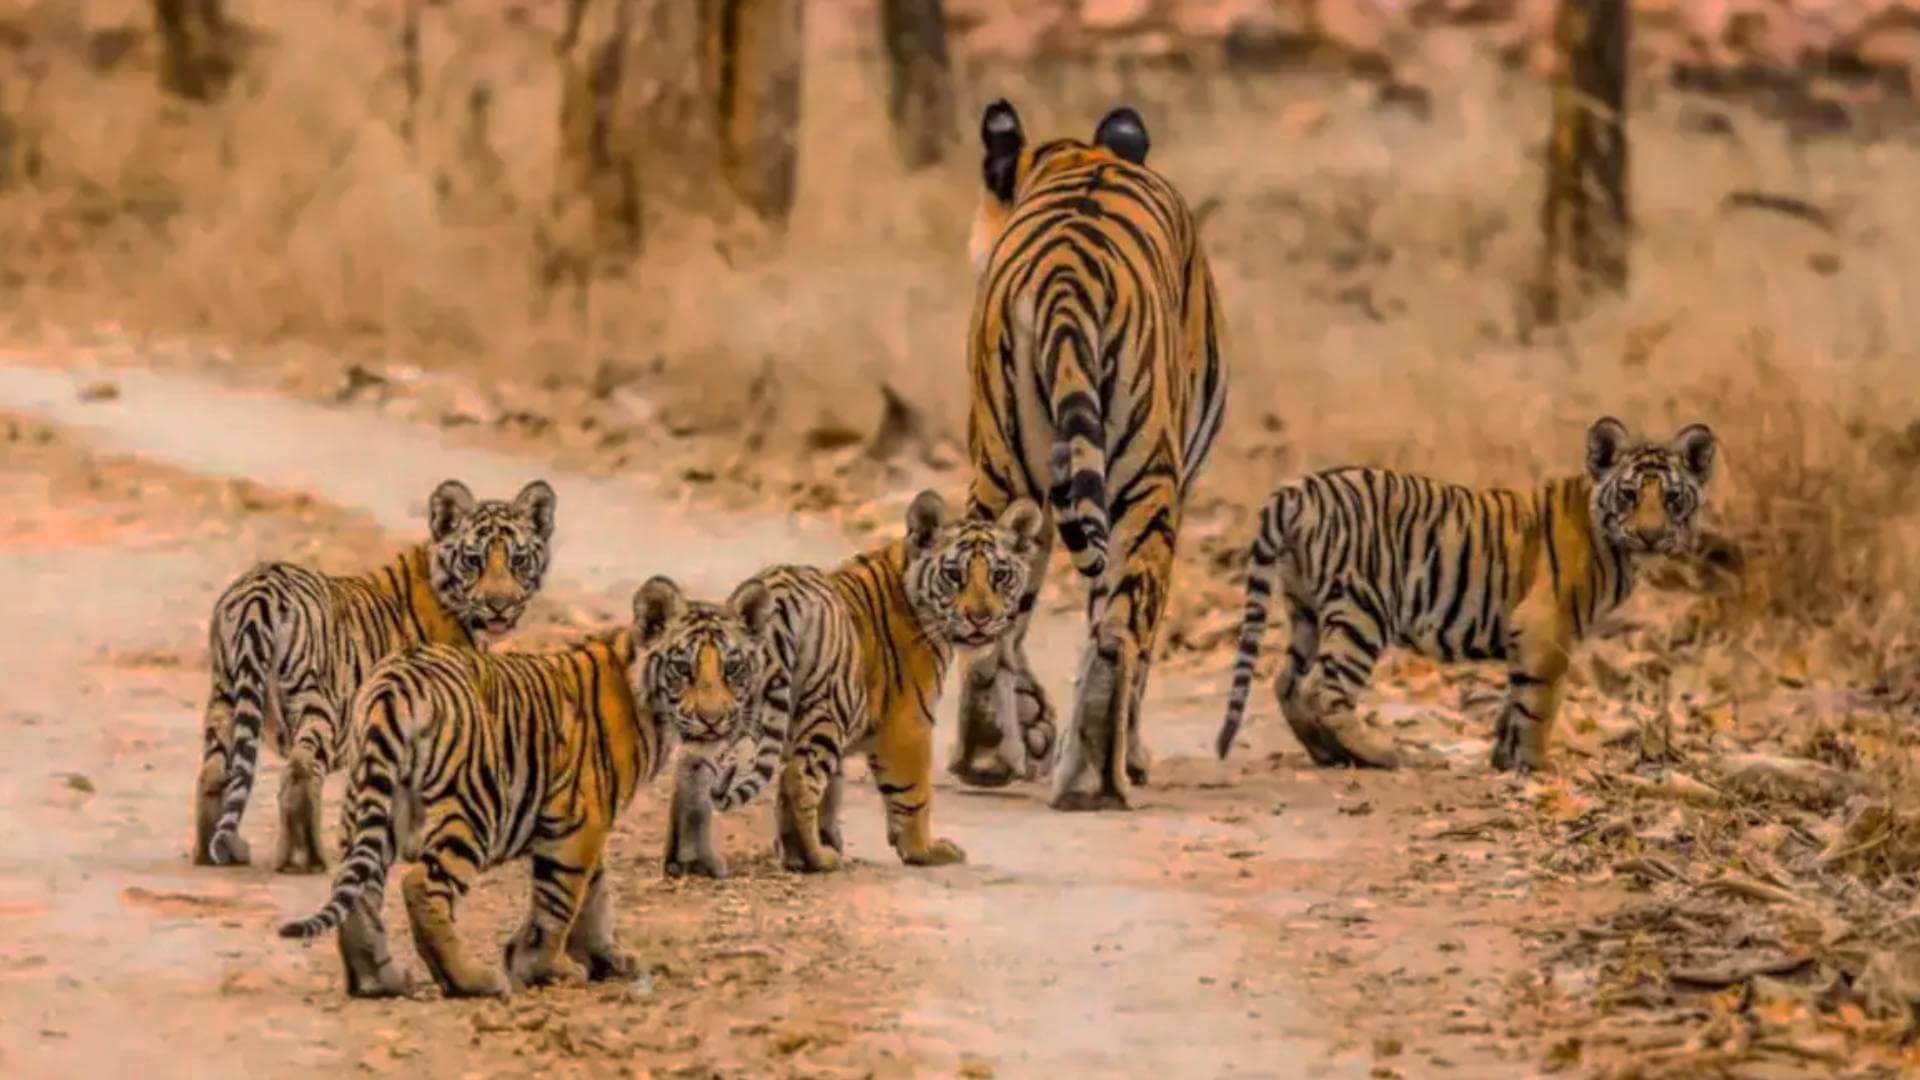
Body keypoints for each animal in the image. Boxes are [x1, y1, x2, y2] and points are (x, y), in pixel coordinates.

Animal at [192, 474, 556, 868]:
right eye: (474, 560)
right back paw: (307, 860)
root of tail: (259, 594)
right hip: (315, 700)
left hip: (226, 695)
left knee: (214, 771)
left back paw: (213, 852)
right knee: (301, 770)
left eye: (519, 560)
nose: (499, 606)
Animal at [280, 576, 760, 999]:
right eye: (683, 668)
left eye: (733, 668)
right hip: (473, 809)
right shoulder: (579, 823)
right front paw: (541, 968)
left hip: (373, 803)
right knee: (421, 886)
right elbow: (559, 903)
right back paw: (471, 981)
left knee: (357, 887)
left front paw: (607, 960)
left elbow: (594, 896)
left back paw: (379, 981)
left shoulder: (588, 823)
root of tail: (396, 681)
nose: (714, 719)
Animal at [664, 488, 1052, 876]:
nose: (981, 618)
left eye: (1000, 575)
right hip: (823, 707)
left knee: (690, 769)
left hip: (716, 710)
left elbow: (832, 790)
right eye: (954, 574)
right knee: (797, 779)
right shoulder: (908, 723)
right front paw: (923, 850)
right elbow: (913, 793)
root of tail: (780, 597)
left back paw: (688, 861)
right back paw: (818, 860)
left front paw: (816, 841)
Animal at [956, 98, 1228, 807]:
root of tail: (1066, 275)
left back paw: (990, 754)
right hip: (1147, 481)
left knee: (990, 614)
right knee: (1119, 632)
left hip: (1004, 467)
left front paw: (1031, 722)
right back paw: (1094, 777)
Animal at [1213, 413, 1728, 772]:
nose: (1650, 535)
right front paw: (1536, 767)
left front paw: (1504, 759)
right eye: (1628, 495)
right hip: (1363, 610)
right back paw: (1384, 754)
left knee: (1287, 682)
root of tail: (1299, 488)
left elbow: (1515, 700)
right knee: (1324, 688)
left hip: (1305, 607)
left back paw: (1330, 753)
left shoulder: (1528, 638)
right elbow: (1540, 705)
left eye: (1672, 498)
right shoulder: (1547, 629)